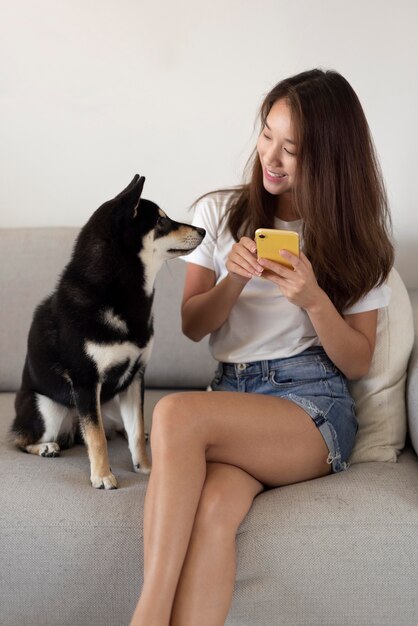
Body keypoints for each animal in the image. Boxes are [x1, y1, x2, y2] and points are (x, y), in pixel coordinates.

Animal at [9, 174, 206, 488]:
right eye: (161, 221)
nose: (202, 230)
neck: (122, 296)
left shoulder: (136, 377)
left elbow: (135, 430)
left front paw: (146, 467)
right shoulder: (86, 381)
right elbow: (97, 437)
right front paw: (102, 476)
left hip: (112, 402)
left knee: (119, 428)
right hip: (48, 408)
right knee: (22, 439)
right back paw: (46, 447)